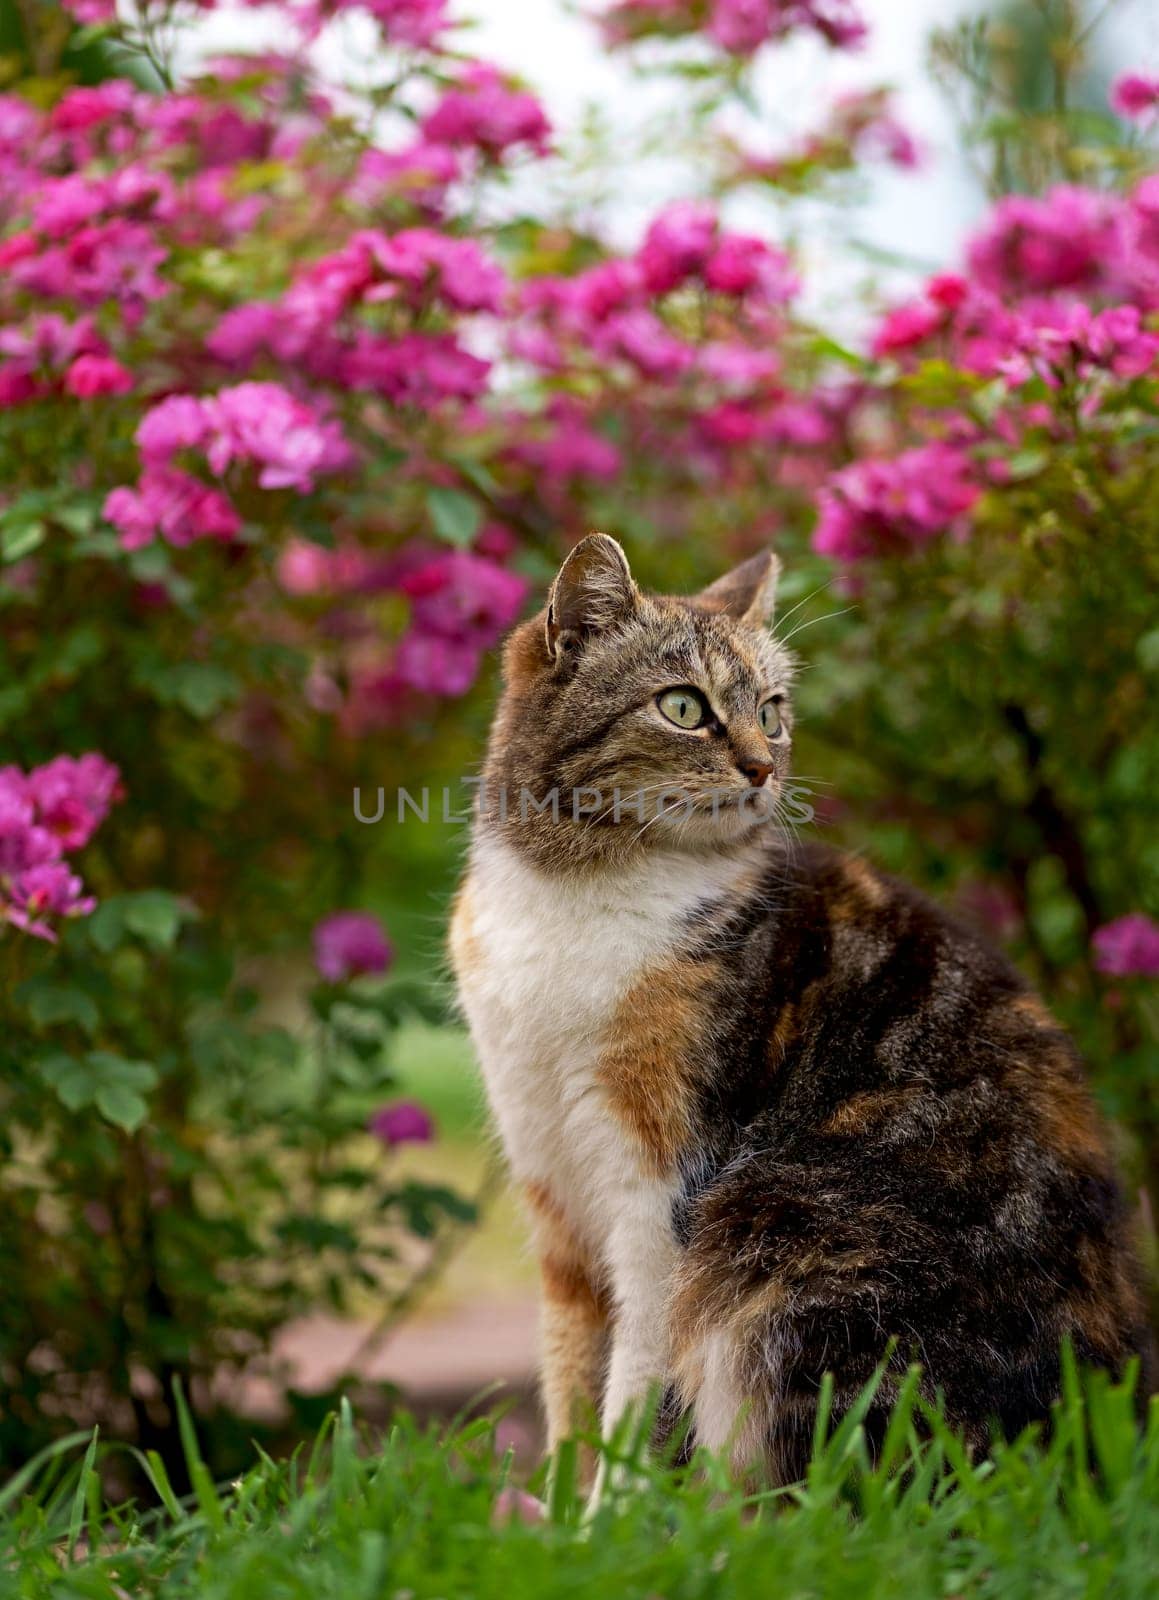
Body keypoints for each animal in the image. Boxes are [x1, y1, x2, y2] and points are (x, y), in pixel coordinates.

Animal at [448, 531, 1146, 1478]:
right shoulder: (553, 1192)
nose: (763, 765)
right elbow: (571, 1392)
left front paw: (616, 1513)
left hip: (784, 1237)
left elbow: (638, 1398)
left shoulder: (664, 1196)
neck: (579, 894)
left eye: (772, 711)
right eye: (682, 707)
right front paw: (555, 1512)